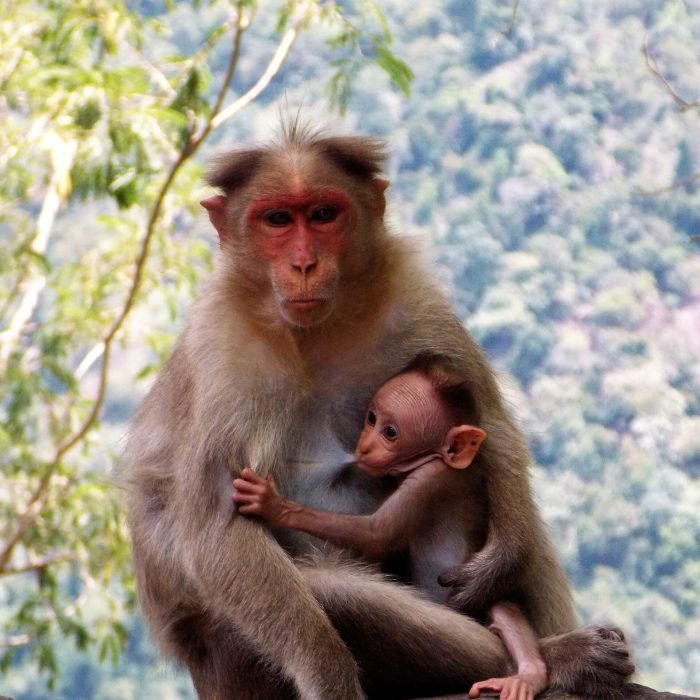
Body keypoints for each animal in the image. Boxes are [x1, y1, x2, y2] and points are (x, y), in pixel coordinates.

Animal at [233, 353, 550, 700]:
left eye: (390, 432)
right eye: (371, 418)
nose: (364, 447)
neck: (431, 458)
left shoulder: (429, 480)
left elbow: (377, 534)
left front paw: (273, 505)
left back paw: (529, 673)